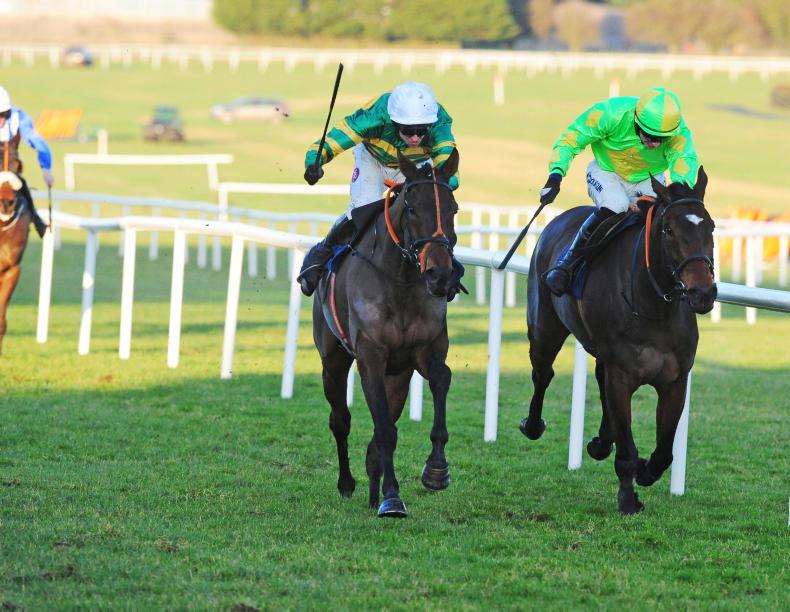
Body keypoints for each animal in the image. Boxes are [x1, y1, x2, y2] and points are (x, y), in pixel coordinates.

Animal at [312, 149, 460, 518]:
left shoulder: (426, 349)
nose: (439, 274)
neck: (401, 280)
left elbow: (441, 379)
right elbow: (384, 431)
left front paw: (436, 469)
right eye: (412, 207)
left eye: (453, 208)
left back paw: (372, 492)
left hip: (399, 375)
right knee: (340, 420)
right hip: (332, 361)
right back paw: (348, 484)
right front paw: (392, 497)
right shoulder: (371, 357)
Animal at [520, 168, 716, 514]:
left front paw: (645, 470)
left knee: (597, 380)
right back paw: (533, 425)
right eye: (668, 229)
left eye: (711, 226)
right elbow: (626, 447)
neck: (652, 306)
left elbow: (664, 450)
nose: (702, 292)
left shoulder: (675, 380)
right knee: (543, 374)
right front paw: (627, 498)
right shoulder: (622, 376)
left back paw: (601, 442)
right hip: (544, 327)